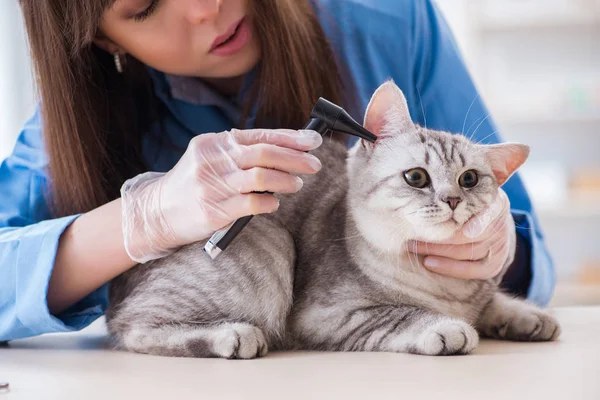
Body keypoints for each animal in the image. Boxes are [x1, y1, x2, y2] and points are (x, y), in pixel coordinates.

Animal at [105, 79, 560, 358]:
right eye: (417, 177)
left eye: (469, 179)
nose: (451, 199)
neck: (445, 288)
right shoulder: (327, 315)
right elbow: (400, 314)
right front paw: (448, 327)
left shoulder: (478, 290)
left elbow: (492, 302)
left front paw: (525, 316)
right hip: (269, 246)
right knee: (134, 328)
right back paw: (230, 334)